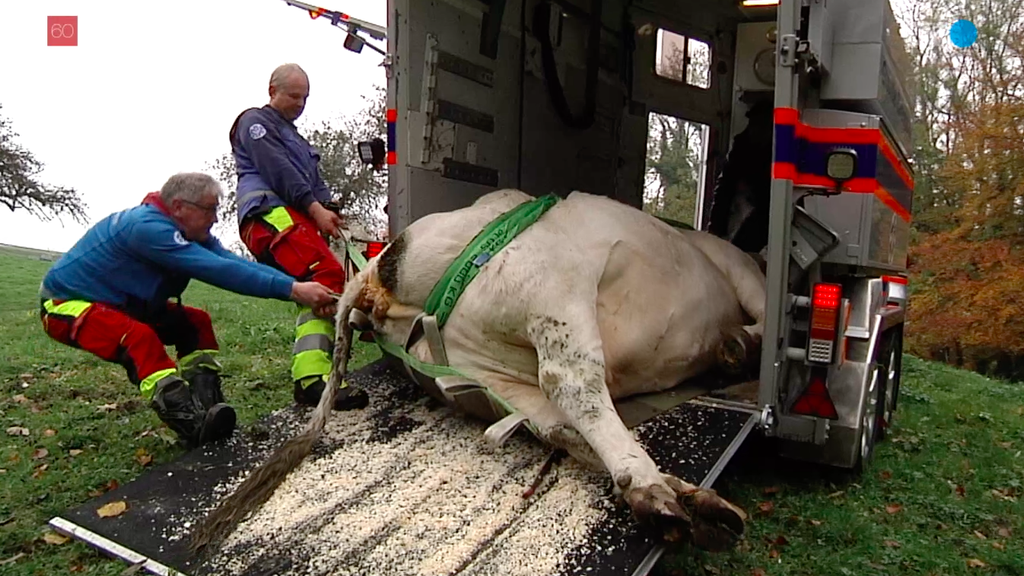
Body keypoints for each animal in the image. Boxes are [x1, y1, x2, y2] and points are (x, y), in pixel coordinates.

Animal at [193, 187, 770, 553]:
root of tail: (376, 270)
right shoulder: (744, 276)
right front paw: (742, 345)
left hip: (488, 364)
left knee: (556, 424)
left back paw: (685, 497)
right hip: (550, 292)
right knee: (574, 386)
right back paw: (658, 488)